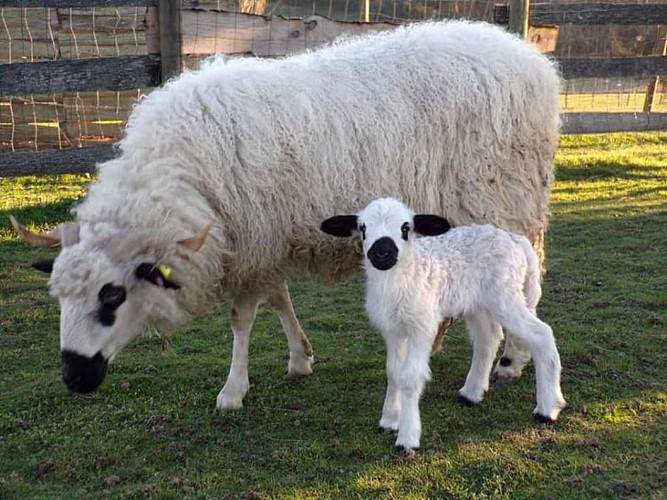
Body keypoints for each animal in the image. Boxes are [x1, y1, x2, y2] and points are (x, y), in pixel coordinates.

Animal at [13, 19, 560, 410]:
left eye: (112, 295)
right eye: (58, 296)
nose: (74, 377)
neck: (181, 176)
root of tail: (532, 60)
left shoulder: (253, 239)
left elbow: (242, 319)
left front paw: (233, 390)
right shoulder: (264, 241)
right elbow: (278, 300)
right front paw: (300, 357)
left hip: (503, 204)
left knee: (526, 282)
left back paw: (512, 359)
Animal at [320, 197, 568, 452]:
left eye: (405, 228)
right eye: (363, 228)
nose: (382, 253)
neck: (399, 279)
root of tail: (515, 240)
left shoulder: (422, 325)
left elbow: (410, 376)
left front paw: (407, 438)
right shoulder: (393, 329)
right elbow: (394, 372)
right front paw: (389, 419)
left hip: (506, 294)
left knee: (542, 334)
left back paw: (548, 408)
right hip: (477, 301)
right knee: (488, 338)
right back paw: (471, 393)